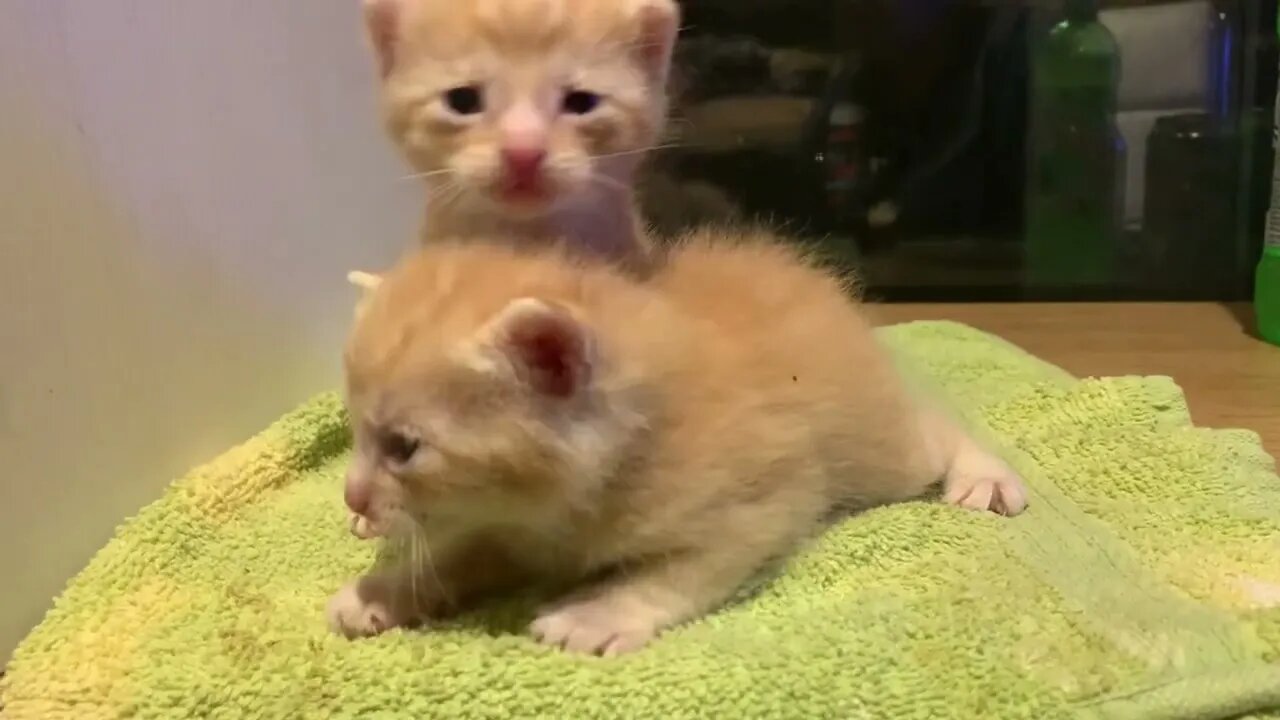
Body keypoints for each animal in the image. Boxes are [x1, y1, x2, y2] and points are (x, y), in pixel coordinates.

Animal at [330, 228, 1029, 650]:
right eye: (357, 433)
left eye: (404, 447)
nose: (351, 499)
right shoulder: (506, 529)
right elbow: (455, 553)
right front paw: (382, 592)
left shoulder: (761, 501)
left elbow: (672, 575)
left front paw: (595, 615)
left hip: (875, 447)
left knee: (933, 429)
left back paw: (984, 476)